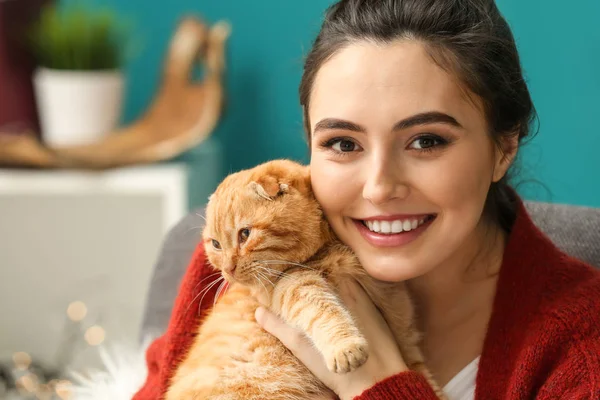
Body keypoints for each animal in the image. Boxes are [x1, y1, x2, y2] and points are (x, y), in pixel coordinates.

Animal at [166, 159, 442, 400]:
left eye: (245, 234)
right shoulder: (291, 287)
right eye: (215, 244)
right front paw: (346, 348)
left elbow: (420, 370)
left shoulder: (402, 328)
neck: (330, 244)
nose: (227, 270)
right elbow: (322, 311)